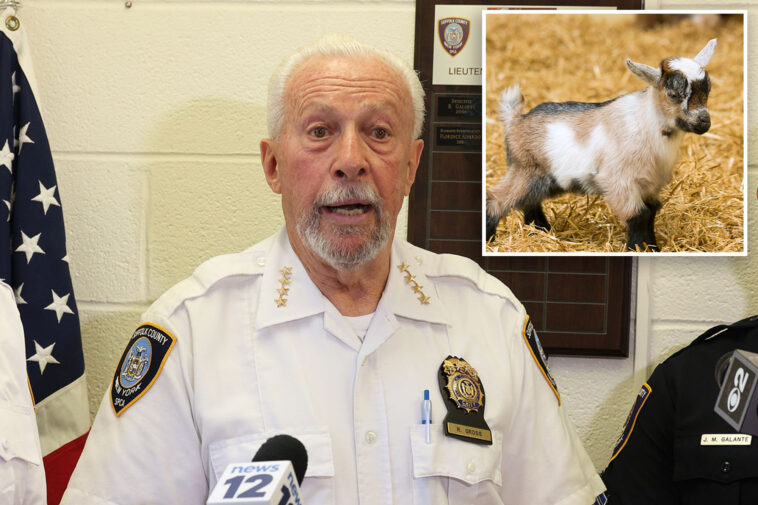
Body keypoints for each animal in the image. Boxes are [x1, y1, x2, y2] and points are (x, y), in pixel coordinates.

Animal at [486, 39, 716, 251]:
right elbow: (638, 215)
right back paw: (491, 239)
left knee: (530, 203)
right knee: (496, 199)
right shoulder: (618, 181)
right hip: (524, 170)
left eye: (708, 90)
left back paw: (541, 232)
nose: (704, 122)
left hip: (541, 179)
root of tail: (515, 120)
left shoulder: (649, 184)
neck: (646, 121)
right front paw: (637, 248)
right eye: (673, 94)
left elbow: (651, 212)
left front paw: (651, 247)